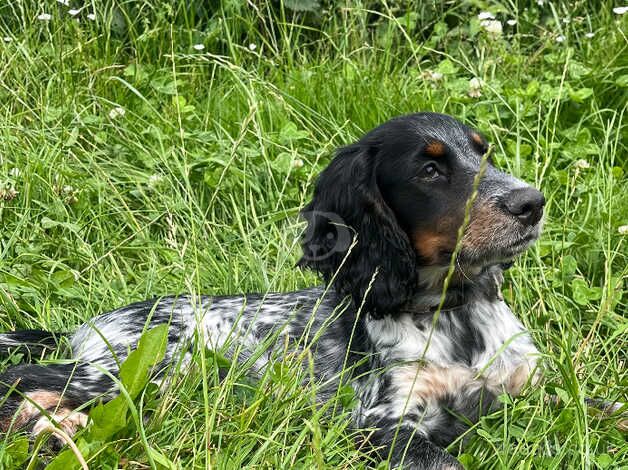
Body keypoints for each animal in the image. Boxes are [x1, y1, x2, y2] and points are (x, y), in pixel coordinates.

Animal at [0, 113, 544, 466]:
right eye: (430, 170)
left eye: (483, 153)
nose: (532, 203)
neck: (454, 312)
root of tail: (85, 326)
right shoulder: (378, 422)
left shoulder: (530, 392)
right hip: (144, 370)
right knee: (24, 377)